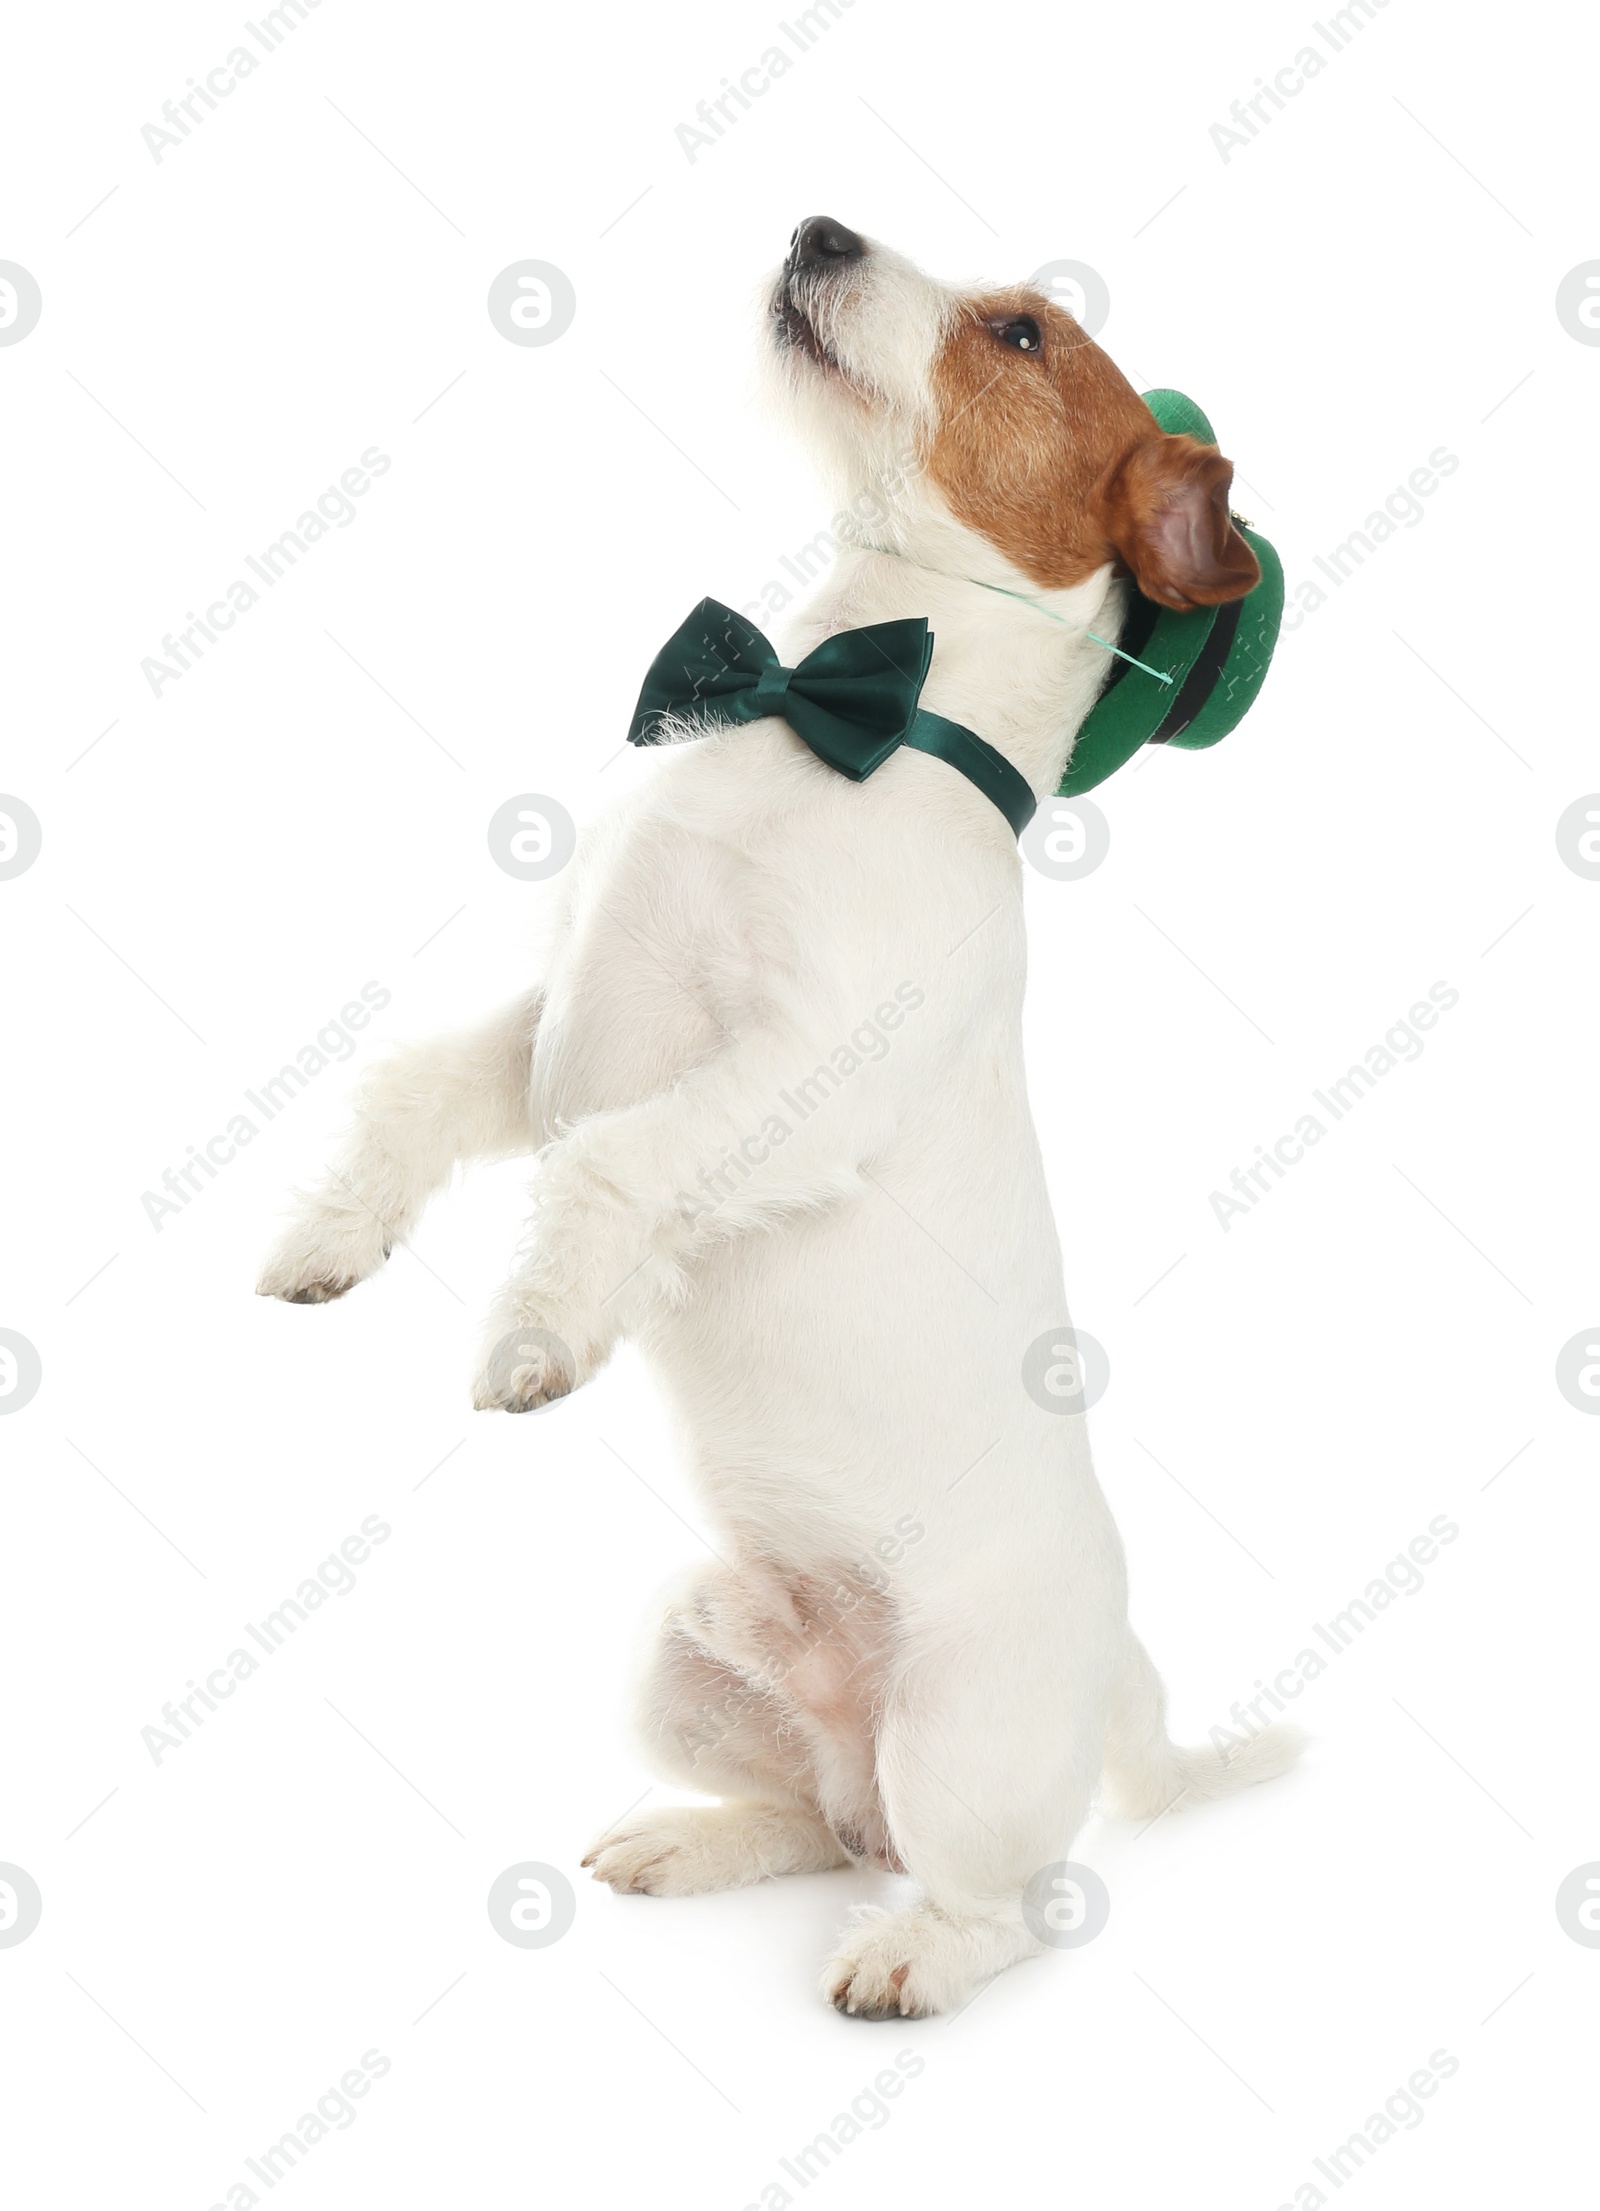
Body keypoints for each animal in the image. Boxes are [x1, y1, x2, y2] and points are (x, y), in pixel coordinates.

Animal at [256, 215, 1299, 2016]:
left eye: (1021, 335)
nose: (821, 227)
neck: (833, 708)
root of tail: (1121, 1674)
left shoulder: (795, 1081)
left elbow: (614, 1168)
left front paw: (537, 1334)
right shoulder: (549, 1037)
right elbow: (413, 1090)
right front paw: (335, 1231)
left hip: (960, 1737)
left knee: (998, 1896)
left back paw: (912, 1959)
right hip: (684, 1646)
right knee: (815, 1814)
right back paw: (694, 1841)